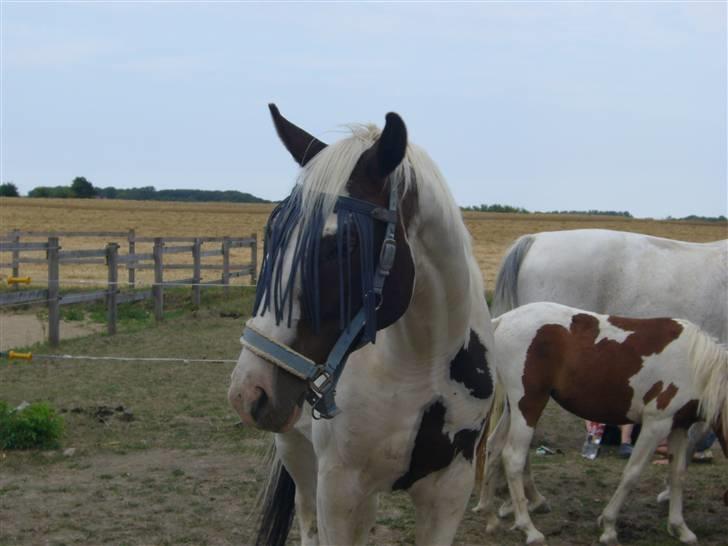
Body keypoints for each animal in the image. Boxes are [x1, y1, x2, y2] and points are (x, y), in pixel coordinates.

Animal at [230, 106, 498, 544]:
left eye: (343, 246)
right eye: (272, 232)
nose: (250, 391)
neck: (419, 368)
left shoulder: (449, 492)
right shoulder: (338, 489)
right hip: (298, 455)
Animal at [478, 302, 728, 544]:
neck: (696, 365)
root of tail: (503, 320)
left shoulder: (678, 427)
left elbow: (677, 475)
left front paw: (680, 528)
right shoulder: (655, 425)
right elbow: (632, 473)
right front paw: (608, 527)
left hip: (514, 409)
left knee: (494, 447)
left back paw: (490, 517)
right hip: (529, 405)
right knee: (513, 458)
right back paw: (529, 529)